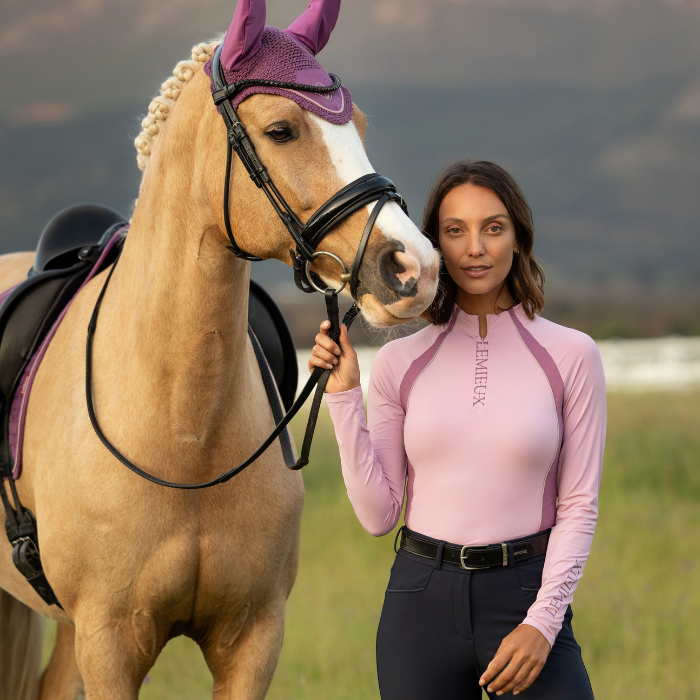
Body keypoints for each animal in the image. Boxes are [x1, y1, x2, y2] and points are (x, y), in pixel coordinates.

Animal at [0, 1, 439, 698]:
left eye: (361, 126)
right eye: (282, 130)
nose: (414, 268)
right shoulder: (109, 645)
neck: (186, 434)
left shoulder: (252, 640)